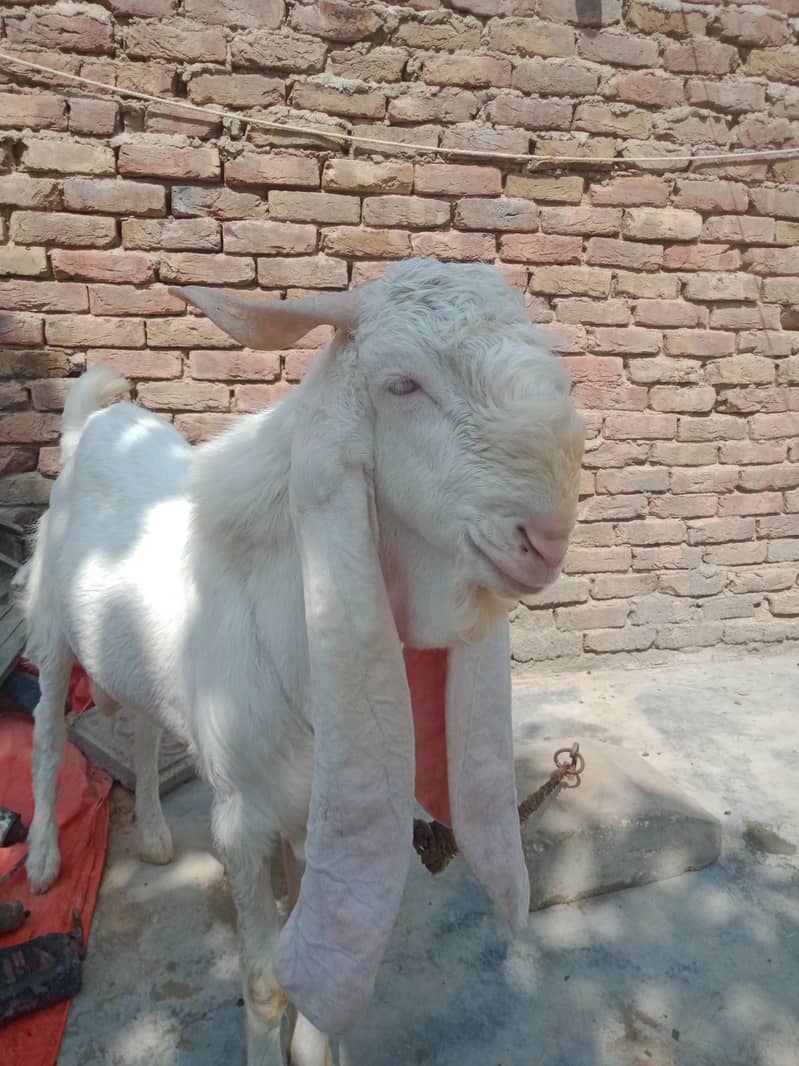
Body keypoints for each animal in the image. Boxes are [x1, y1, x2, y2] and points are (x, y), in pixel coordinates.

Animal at [20, 258, 584, 1066]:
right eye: (401, 384)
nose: (544, 539)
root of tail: (91, 425)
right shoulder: (242, 816)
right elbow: (265, 985)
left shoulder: (319, 810)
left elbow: (317, 1010)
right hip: (49, 625)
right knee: (45, 733)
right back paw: (40, 858)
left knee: (144, 728)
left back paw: (155, 836)